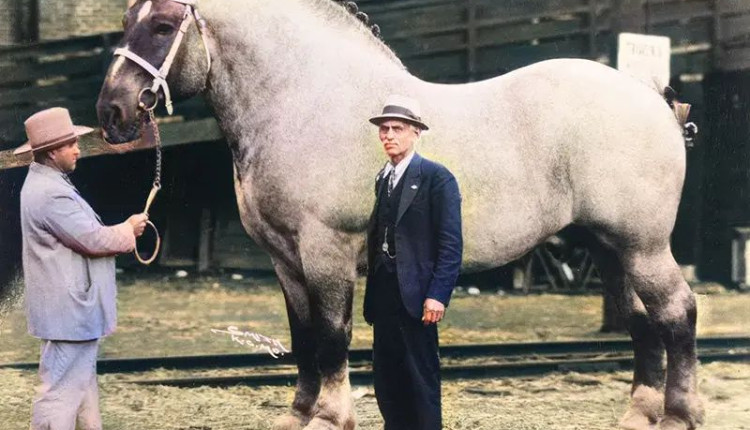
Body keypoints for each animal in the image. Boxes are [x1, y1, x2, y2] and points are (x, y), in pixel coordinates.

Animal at [95, 0, 704, 430]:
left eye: (163, 25)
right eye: (126, 19)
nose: (112, 112)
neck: (304, 101)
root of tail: (653, 99)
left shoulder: (326, 250)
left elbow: (332, 336)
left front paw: (330, 417)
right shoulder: (286, 260)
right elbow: (303, 337)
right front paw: (298, 413)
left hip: (643, 246)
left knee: (677, 313)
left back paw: (681, 413)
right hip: (610, 248)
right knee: (642, 323)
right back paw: (640, 415)